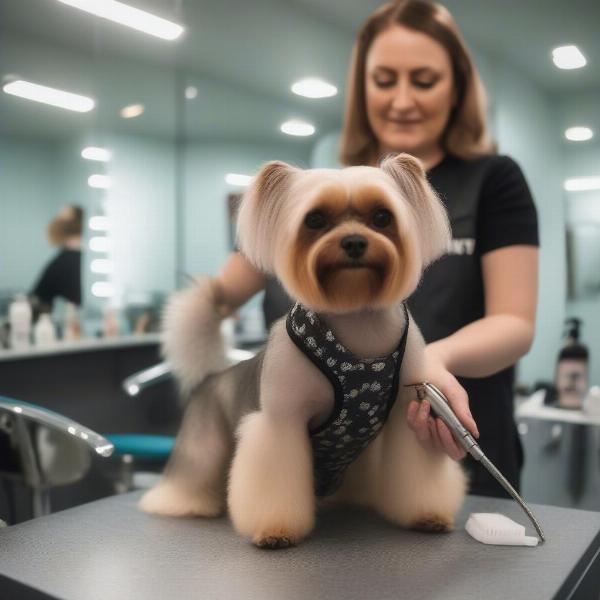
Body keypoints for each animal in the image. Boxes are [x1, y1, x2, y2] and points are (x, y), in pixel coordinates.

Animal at [141, 154, 468, 548]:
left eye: (382, 217)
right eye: (315, 220)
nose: (354, 242)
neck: (357, 321)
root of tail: (213, 374)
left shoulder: (408, 417)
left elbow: (416, 468)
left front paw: (426, 515)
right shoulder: (281, 423)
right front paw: (275, 530)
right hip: (202, 443)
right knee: (191, 473)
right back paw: (179, 503)